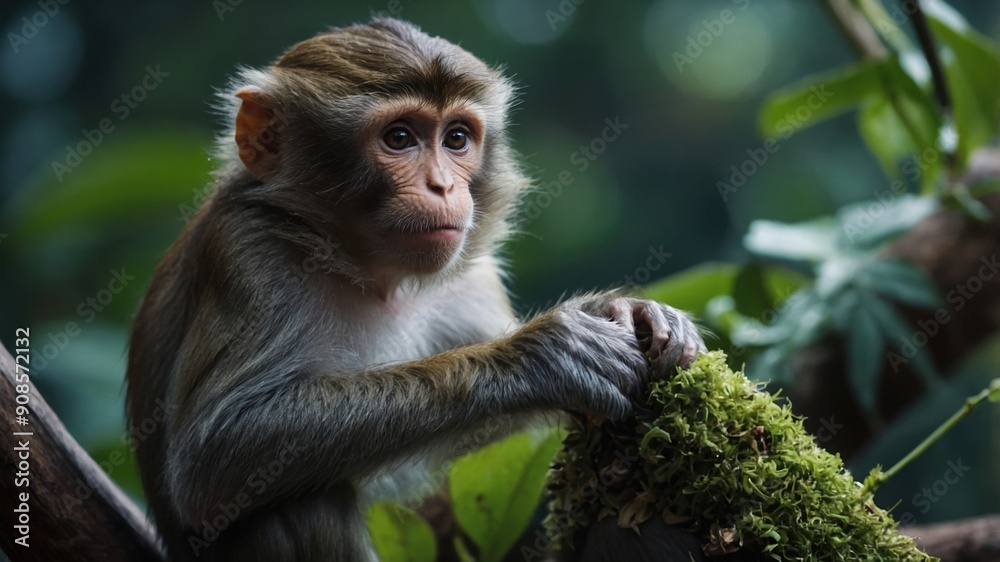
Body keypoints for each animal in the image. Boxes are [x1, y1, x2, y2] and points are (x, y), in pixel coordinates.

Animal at [125, 18, 705, 562]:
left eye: (456, 138)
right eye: (400, 138)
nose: (444, 187)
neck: (375, 277)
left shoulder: (470, 277)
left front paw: (628, 310)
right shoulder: (250, 247)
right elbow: (214, 457)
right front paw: (545, 357)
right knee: (300, 503)